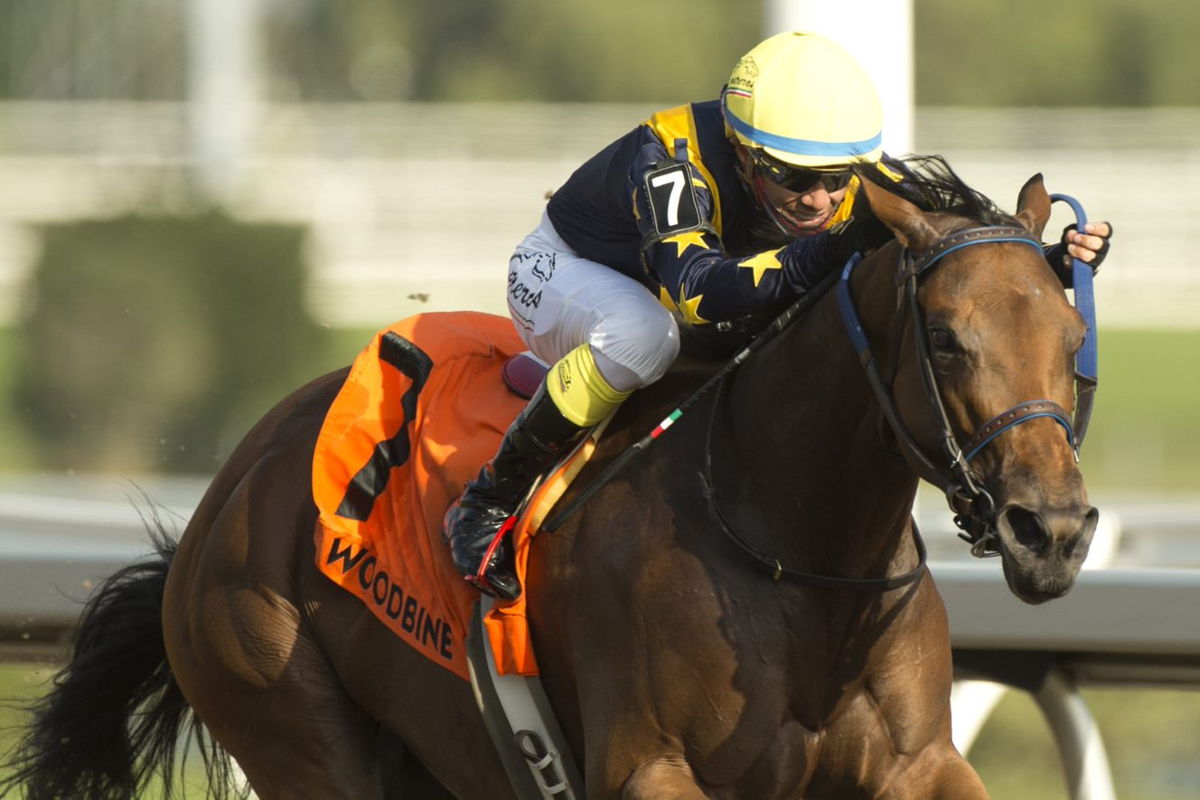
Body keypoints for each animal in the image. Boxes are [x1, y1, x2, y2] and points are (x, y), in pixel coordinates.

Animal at [2, 158, 1099, 800]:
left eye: (1071, 331)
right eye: (948, 339)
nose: (1051, 530)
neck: (797, 551)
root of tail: (229, 492)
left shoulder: (920, 763)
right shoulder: (648, 765)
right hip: (285, 710)